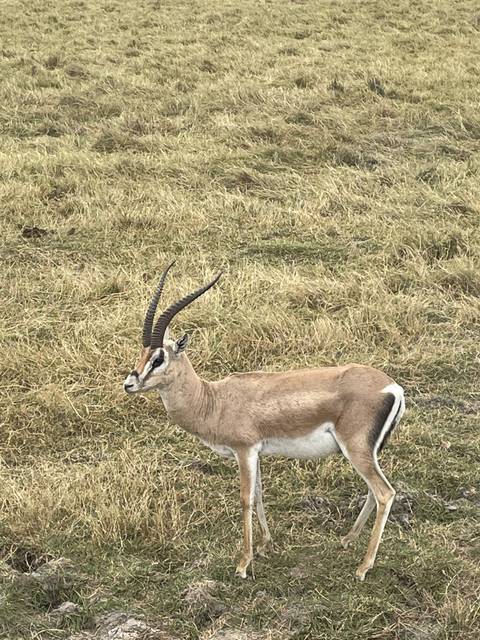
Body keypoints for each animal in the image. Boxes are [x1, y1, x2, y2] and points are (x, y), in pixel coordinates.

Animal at [123, 264, 406, 580]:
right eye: (142, 353)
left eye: (159, 358)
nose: (129, 384)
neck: (215, 401)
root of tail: (393, 388)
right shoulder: (256, 452)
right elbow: (259, 495)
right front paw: (264, 545)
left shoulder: (244, 450)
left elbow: (246, 498)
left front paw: (243, 564)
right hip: (368, 452)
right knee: (374, 490)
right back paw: (347, 540)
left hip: (355, 449)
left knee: (385, 493)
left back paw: (363, 567)